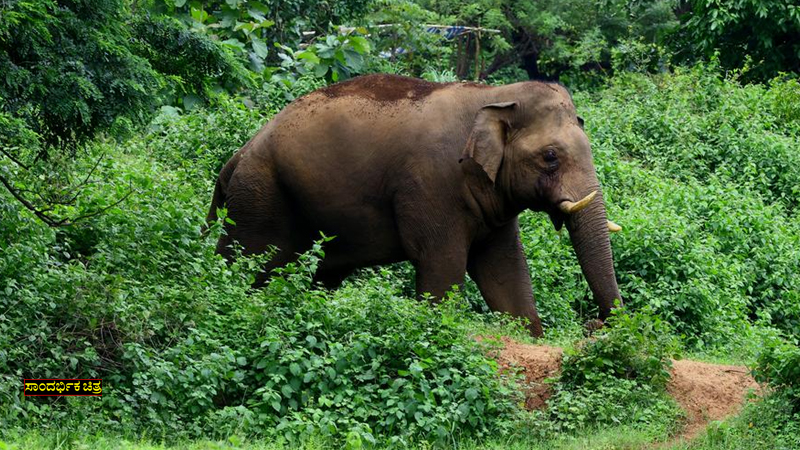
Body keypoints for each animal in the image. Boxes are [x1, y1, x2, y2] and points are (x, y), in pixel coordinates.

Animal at [207, 74, 622, 336]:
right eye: (550, 157)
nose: (594, 325)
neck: (495, 94)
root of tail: (237, 156)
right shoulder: (432, 184)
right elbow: (442, 264)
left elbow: (505, 269)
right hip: (261, 197)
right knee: (248, 263)